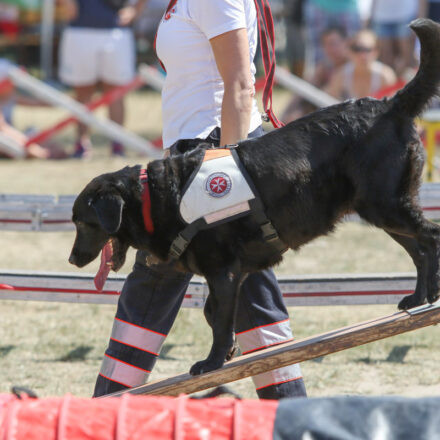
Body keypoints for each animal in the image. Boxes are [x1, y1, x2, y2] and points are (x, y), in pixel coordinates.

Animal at [70, 19, 440, 374]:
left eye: (82, 223)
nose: (72, 260)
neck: (160, 196)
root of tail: (389, 106)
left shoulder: (224, 273)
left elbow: (220, 320)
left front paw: (212, 362)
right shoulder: (234, 273)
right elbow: (212, 312)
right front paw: (228, 351)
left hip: (386, 205)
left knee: (431, 236)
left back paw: (432, 291)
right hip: (383, 210)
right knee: (419, 249)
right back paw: (418, 299)